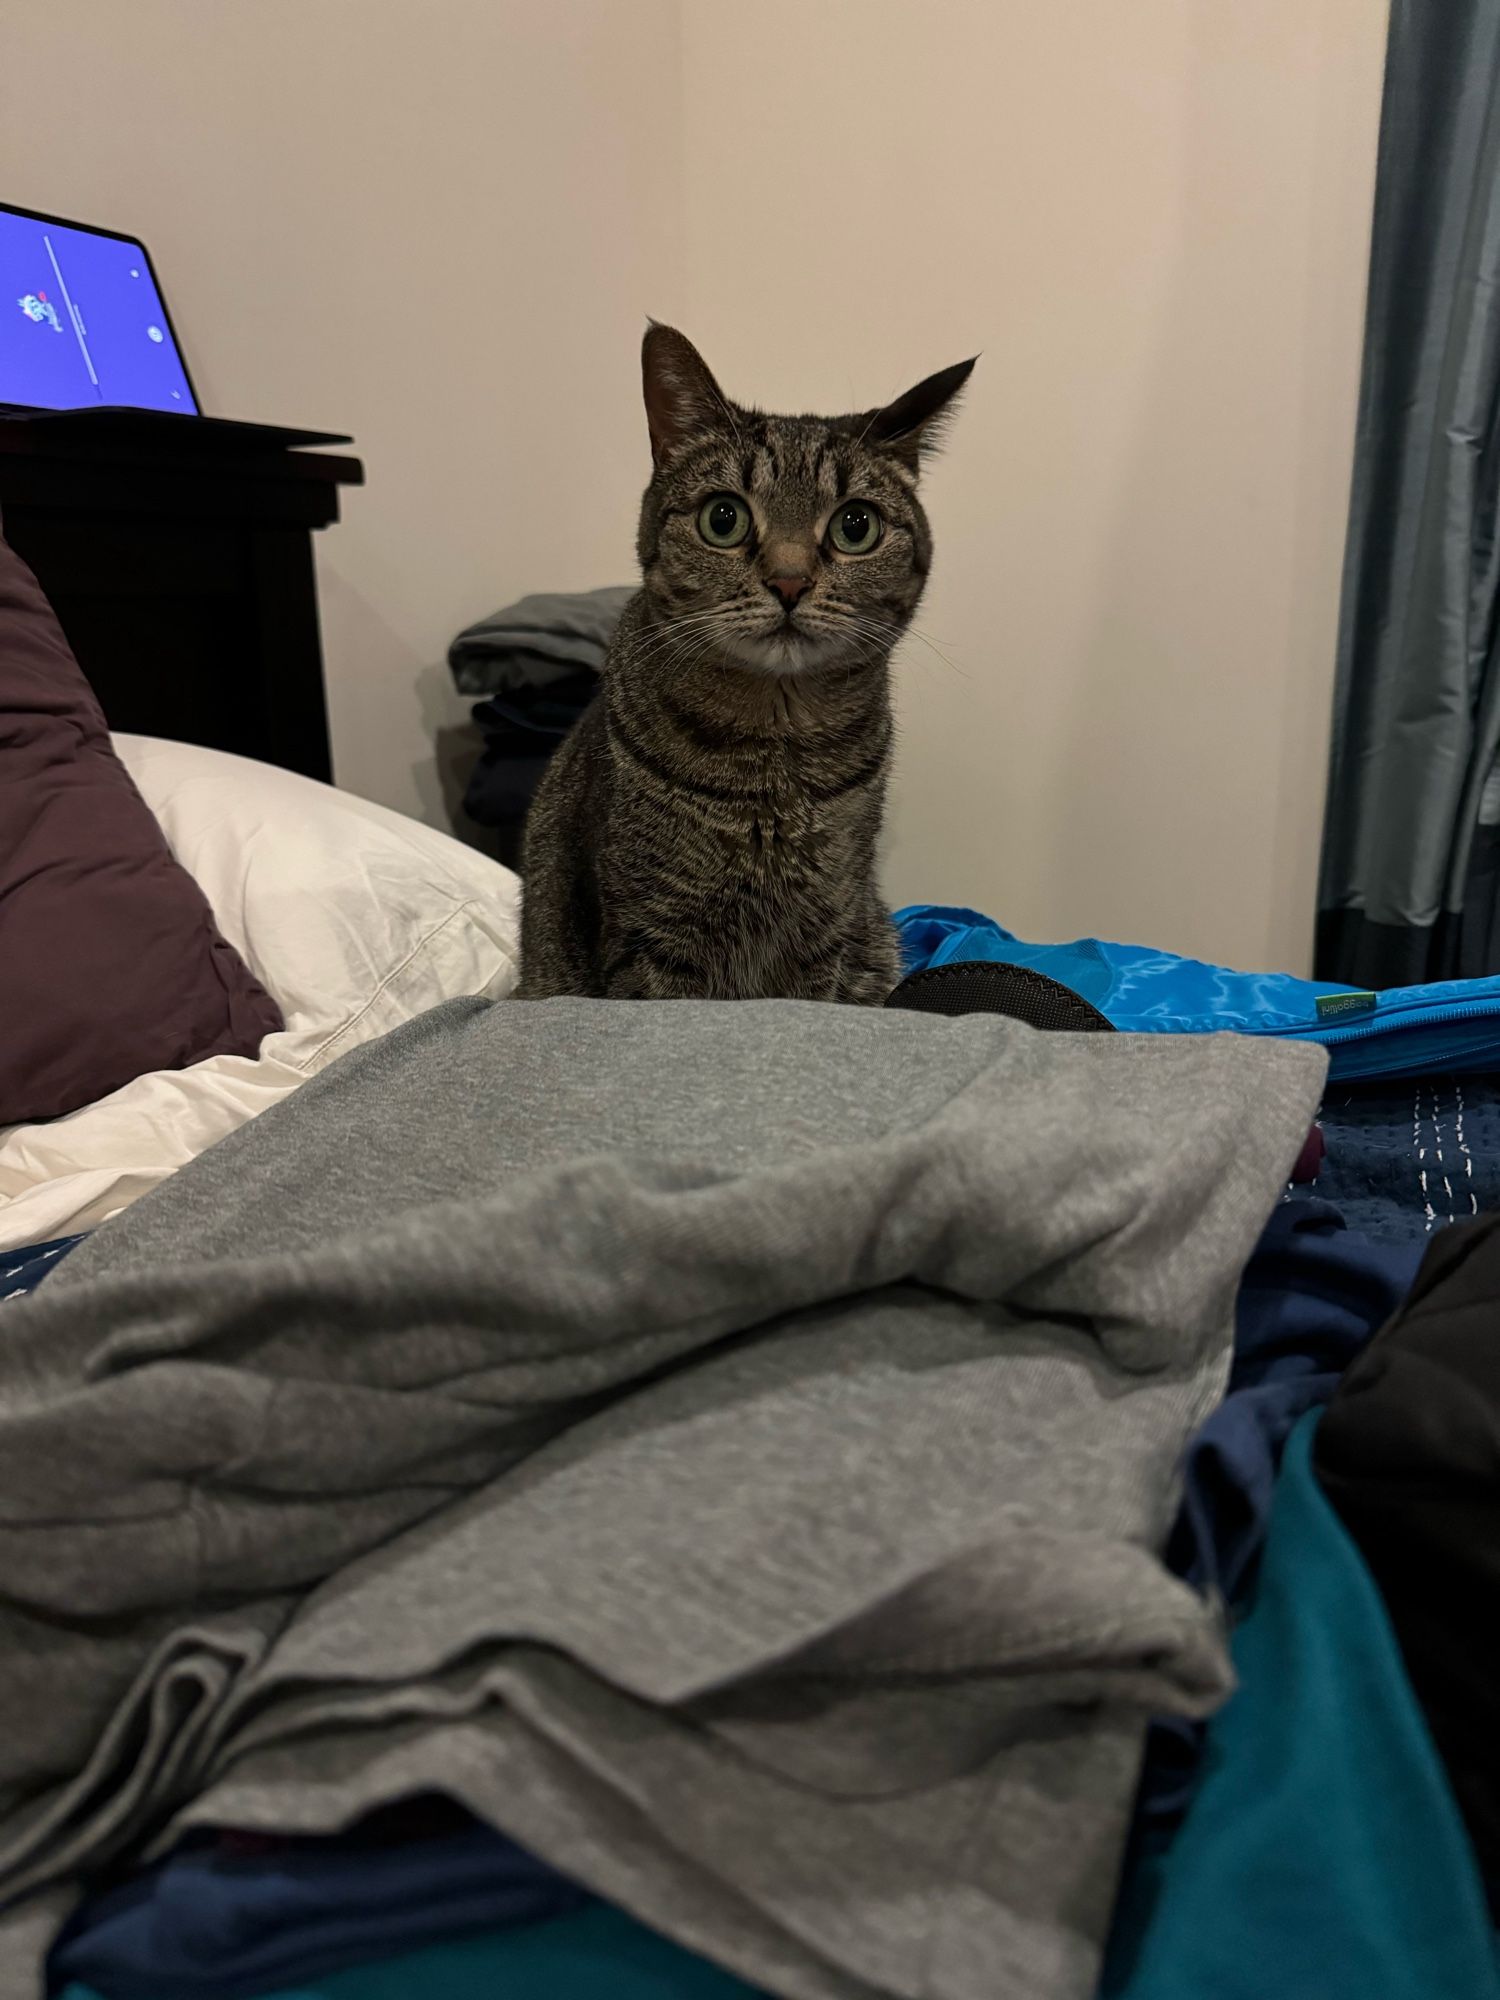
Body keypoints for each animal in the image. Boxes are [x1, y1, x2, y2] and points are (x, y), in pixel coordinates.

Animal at [524, 332, 980, 1016]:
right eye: (724, 518)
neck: (775, 753)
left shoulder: (825, 929)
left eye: (856, 526)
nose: (789, 582)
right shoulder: (654, 935)